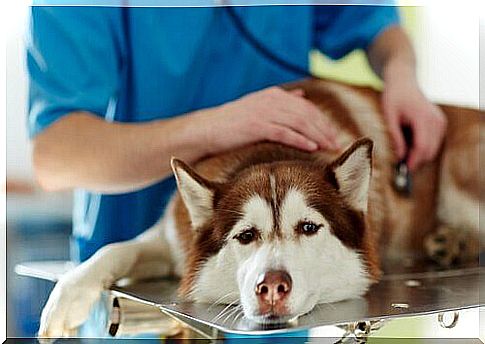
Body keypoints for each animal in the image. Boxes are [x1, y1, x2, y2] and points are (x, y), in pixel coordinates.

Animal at [37, 77, 480, 336]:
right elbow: (114, 249)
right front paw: (66, 298)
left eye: (308, 227)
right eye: (245, 235)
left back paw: (455, 242)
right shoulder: (173, 240)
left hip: (459, 165)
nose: (271, 287)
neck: (267, 150)